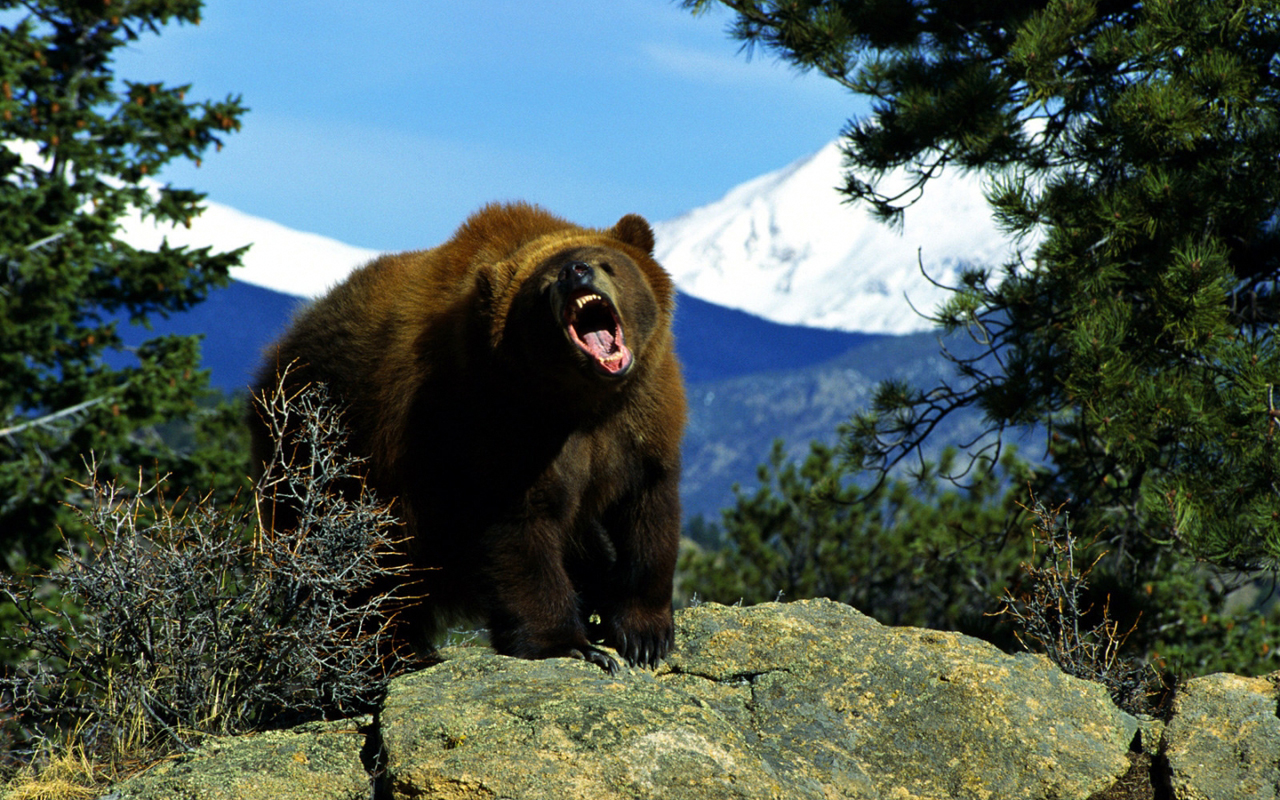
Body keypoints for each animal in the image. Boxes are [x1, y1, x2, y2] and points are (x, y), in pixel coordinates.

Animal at [252, 200, 691, 675]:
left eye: (605, 263)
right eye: (544, 285)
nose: (575, 271)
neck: (582, 399)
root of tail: (276, 353)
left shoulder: (641, 420)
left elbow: (648, 514)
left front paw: (643, 635)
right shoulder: (495, 426)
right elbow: (520, 533)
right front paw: (570, 644)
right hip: (329, 456)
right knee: (365, 572)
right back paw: (393, 655)